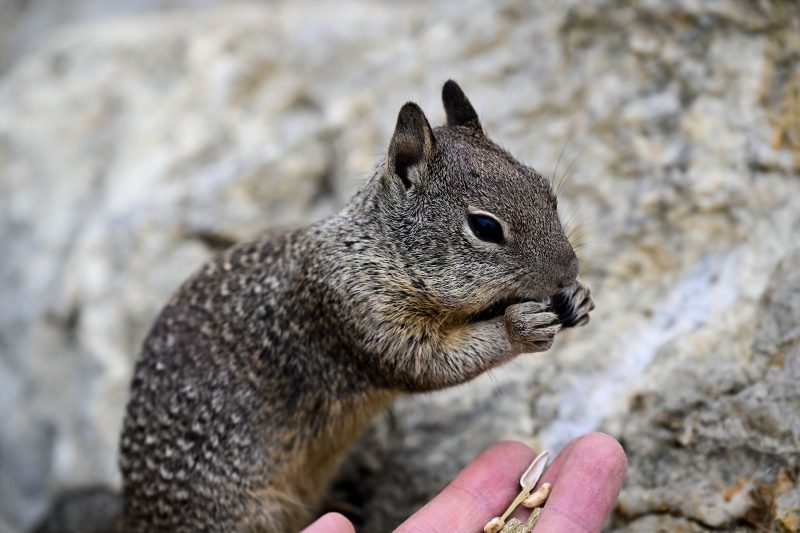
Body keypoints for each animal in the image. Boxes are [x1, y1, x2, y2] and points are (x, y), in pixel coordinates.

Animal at [114, 80, 594, 532]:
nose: (568, 271)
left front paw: (577, 299)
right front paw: (519, 327)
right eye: (485, 227)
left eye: (545, 190)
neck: (374, 251)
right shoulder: (358, 315)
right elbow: (428, 364)